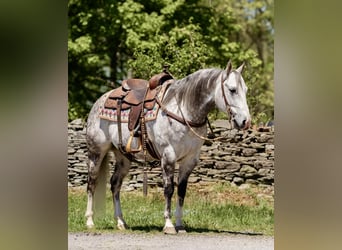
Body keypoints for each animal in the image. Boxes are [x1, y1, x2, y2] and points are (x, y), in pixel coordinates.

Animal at [85, 60, 251, 234]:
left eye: (245, 90)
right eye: (232, 90)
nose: (245, 122)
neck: (184, 110)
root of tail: (100, 101)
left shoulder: (190, 159)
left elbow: (181, 190)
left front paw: (180, 225)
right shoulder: (168, 156)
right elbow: (169, 189)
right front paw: (169, 225)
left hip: (123, 157)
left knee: (115, 184)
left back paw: (121, 222)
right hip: (96, 152)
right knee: (92, 182)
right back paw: (90, 222)